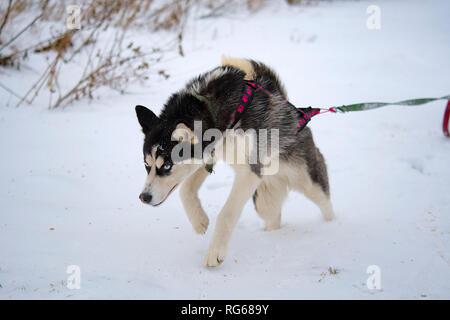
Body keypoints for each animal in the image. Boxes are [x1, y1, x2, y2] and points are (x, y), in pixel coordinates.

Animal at [135, 56, 336, 266]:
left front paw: (215, 252)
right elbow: (185, 190)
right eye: (146, 165)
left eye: (166, 166)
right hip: (264, 200)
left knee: (325, 205)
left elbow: (227, 213)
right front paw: (199, 221)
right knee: (273, 217)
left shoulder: (249, 172)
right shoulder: (210, 154)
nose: (144, 197)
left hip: (307, 181)